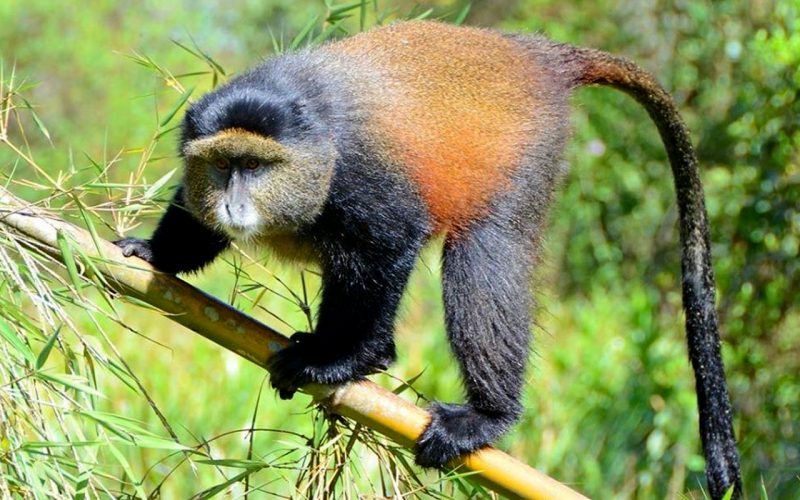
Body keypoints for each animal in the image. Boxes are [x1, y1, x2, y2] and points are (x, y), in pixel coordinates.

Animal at [115, 21, 741, 498]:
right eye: (223, 165)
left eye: (256, 165)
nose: (234, 202)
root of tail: (536, 54)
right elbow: (194, 220)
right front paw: (151, 253)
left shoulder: (363, 177)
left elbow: (389, 245)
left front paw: (344, 361)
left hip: (522, 154)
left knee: (484, 254)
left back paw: (487, 415)